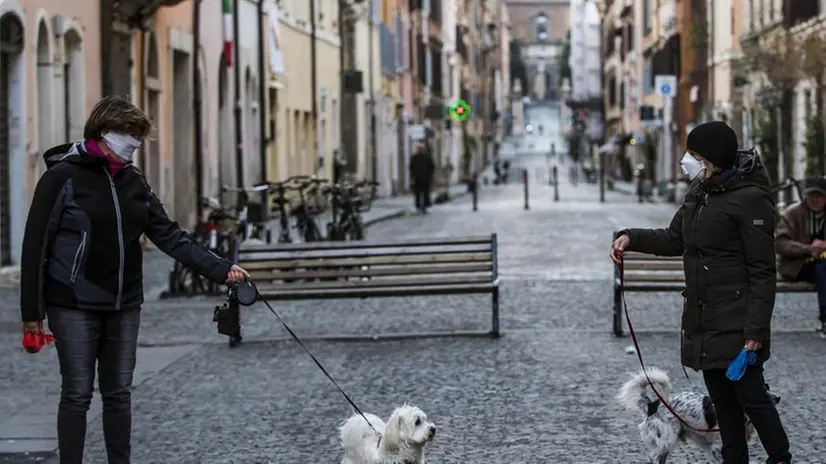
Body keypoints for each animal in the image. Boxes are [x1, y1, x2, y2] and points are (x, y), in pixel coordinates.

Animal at [616, 368, 776, 462]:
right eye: (764, 391)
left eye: (767, 387)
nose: (778, 398)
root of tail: (652, 405)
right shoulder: (718, 447)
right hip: (668, 438)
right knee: (653, 456)